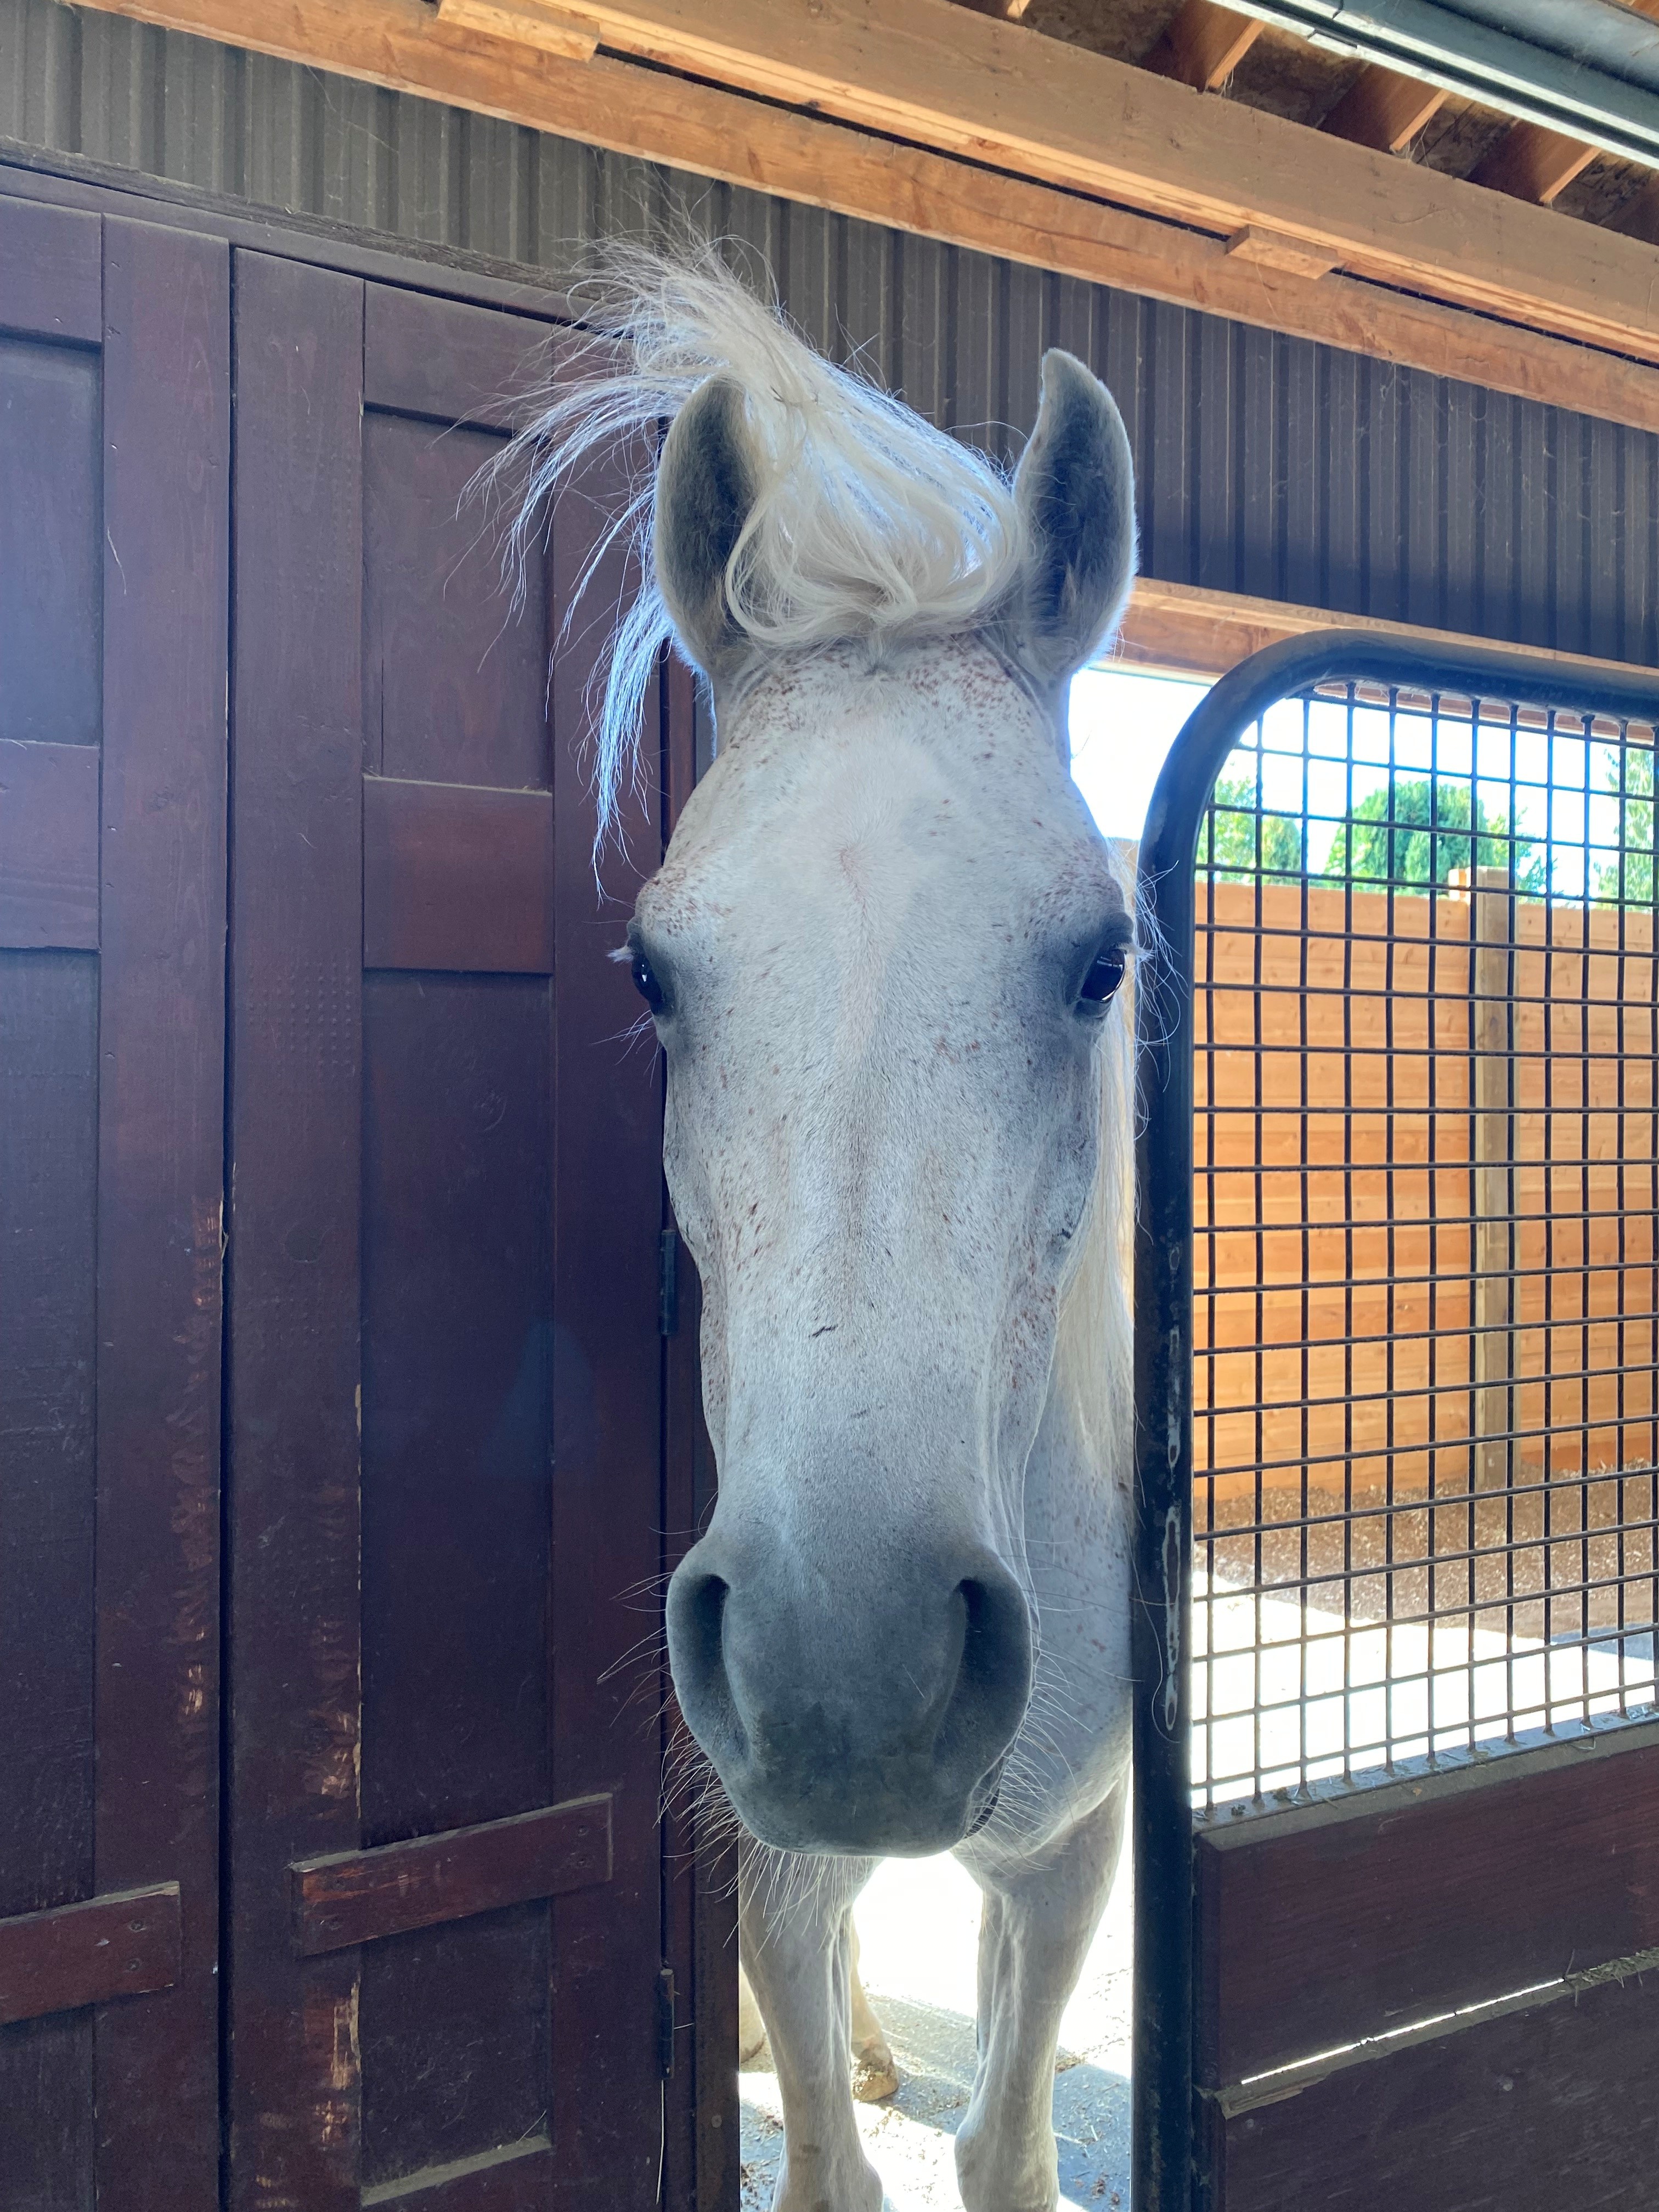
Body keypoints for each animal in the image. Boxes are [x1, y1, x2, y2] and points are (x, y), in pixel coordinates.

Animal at [505, 248, 1138, 2212]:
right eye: (655, 969)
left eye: (1102, 962)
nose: (849, 1689)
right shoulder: (770, 1877)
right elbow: (829, 2167)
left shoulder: (1069, 1856)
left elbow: (1006, 2147)